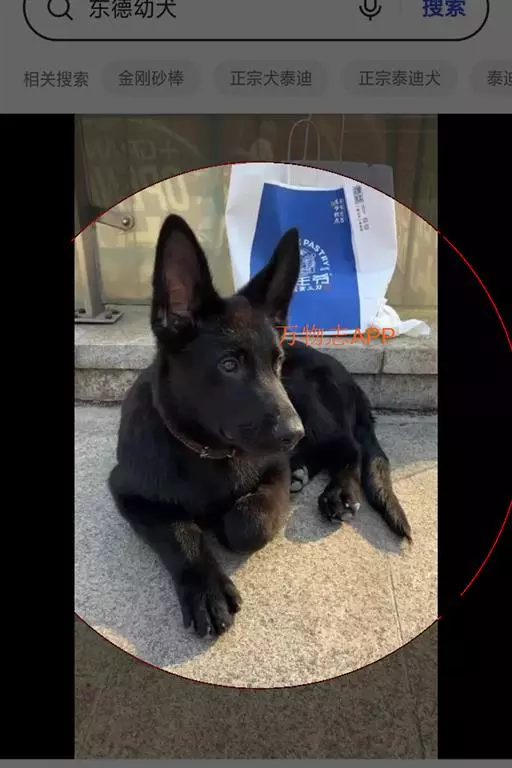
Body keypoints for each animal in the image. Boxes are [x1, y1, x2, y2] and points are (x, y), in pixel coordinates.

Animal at [109, 214, 411, 639]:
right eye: (228, 365)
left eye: (276, 361)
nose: (294, 434)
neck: (208, 454)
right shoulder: (128, 493)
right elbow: (179, 531)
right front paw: (206, 588)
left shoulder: (273, 469)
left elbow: (247, 522)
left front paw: (228, 521)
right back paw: (305, 473)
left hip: (307, 398)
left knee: (348, 447)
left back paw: (339, 492)